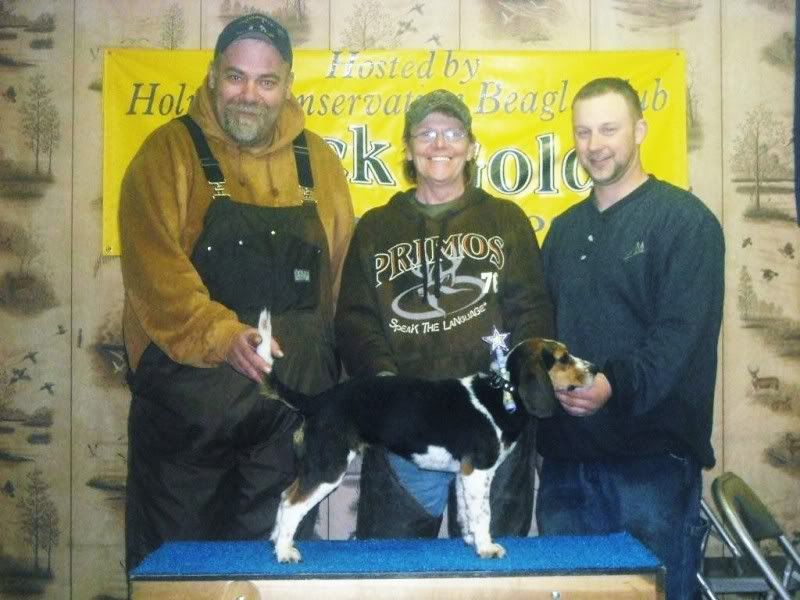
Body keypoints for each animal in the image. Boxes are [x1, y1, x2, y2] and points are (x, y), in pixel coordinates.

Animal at [263, 328, 597, 563]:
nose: (594, 368)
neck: (506, 392)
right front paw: (487, 547)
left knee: (284, 496)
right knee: (292, 503)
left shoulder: (465, 473)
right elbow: (484, 513)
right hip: (329, 466)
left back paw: (276, 541)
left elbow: (467, 512)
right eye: (563, 357)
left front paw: (471, 541)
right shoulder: (479, 471)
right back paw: (285, 552)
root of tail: (317, 401)